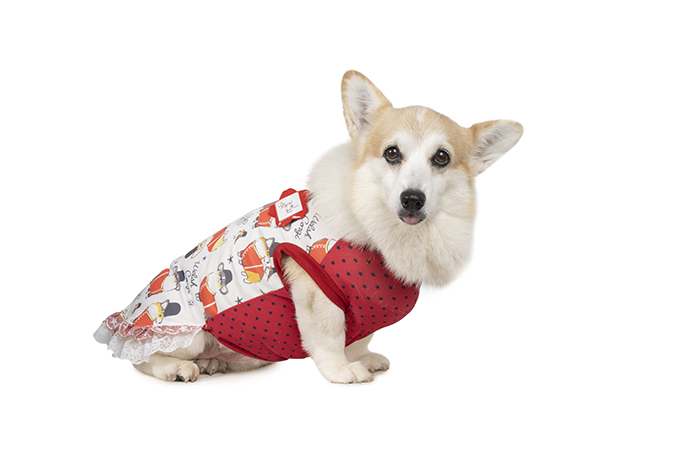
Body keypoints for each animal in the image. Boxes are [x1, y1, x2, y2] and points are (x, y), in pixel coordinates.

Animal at [94, 71, 523, 384]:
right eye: (392, 153)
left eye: (441, 158)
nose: (412, 199)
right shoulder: (318, 290)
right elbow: (330, 338)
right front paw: (343, 371)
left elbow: (359, 339)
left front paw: (364, 358)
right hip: (186, 331)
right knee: (142, 359)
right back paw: (177, 368)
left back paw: (218, 363)